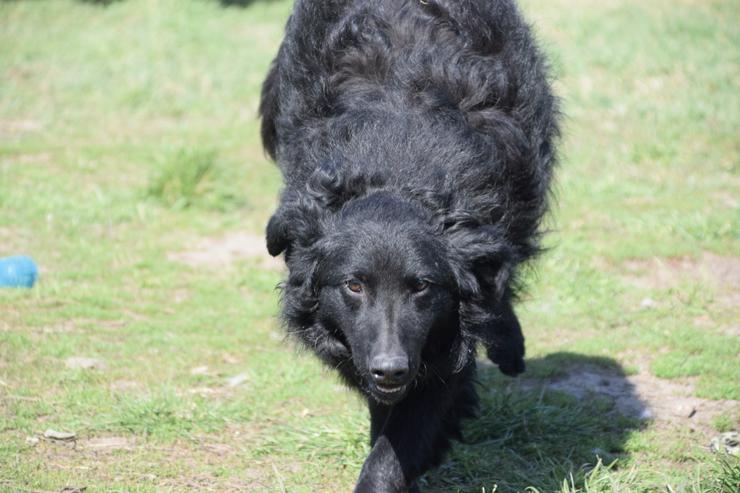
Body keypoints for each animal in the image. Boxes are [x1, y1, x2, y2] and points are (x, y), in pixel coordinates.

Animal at [260, 1, 556, 490]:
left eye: (422, 287)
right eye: (354, 286)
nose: (391, 368)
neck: (395, 172)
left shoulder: (442, 341)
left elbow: (399, 441)